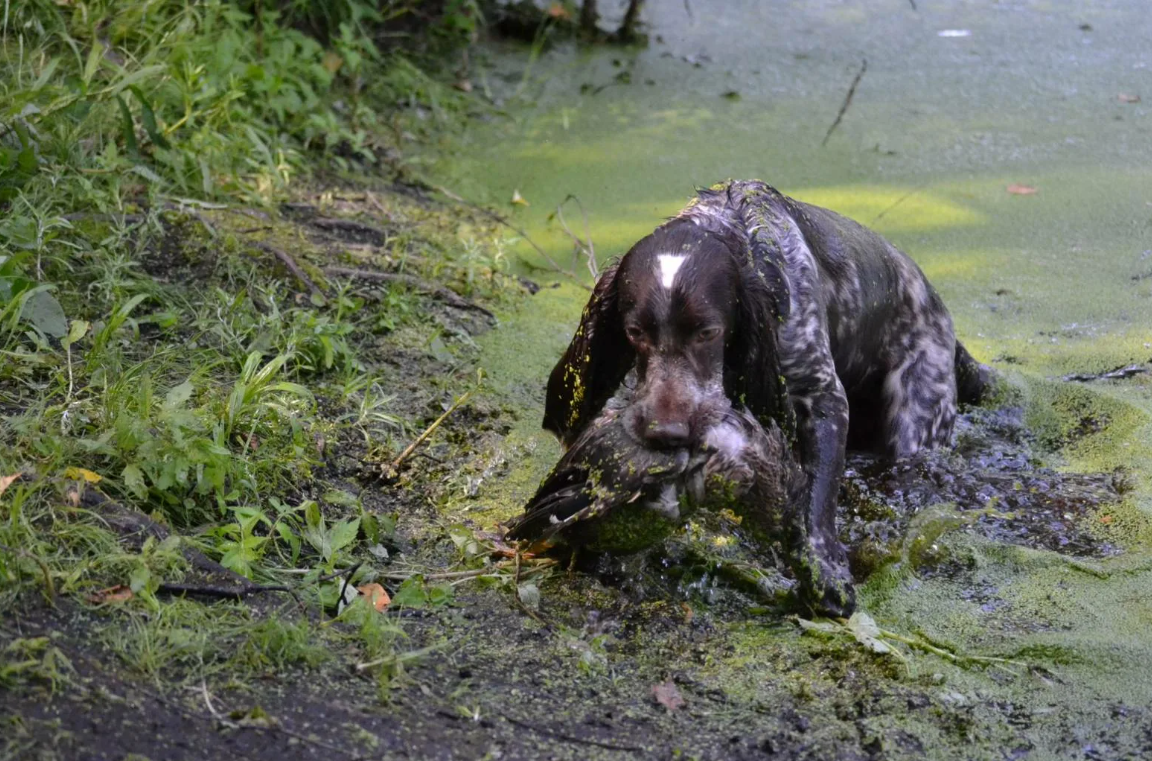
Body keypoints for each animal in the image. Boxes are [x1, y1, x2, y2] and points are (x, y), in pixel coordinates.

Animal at [541, 179, 990, 617]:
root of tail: (937, 306)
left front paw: (824, 571)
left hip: (917, 418)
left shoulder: (822, 396)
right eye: (635, 332)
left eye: (708, 332)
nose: (666, 433)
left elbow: (818, 495)